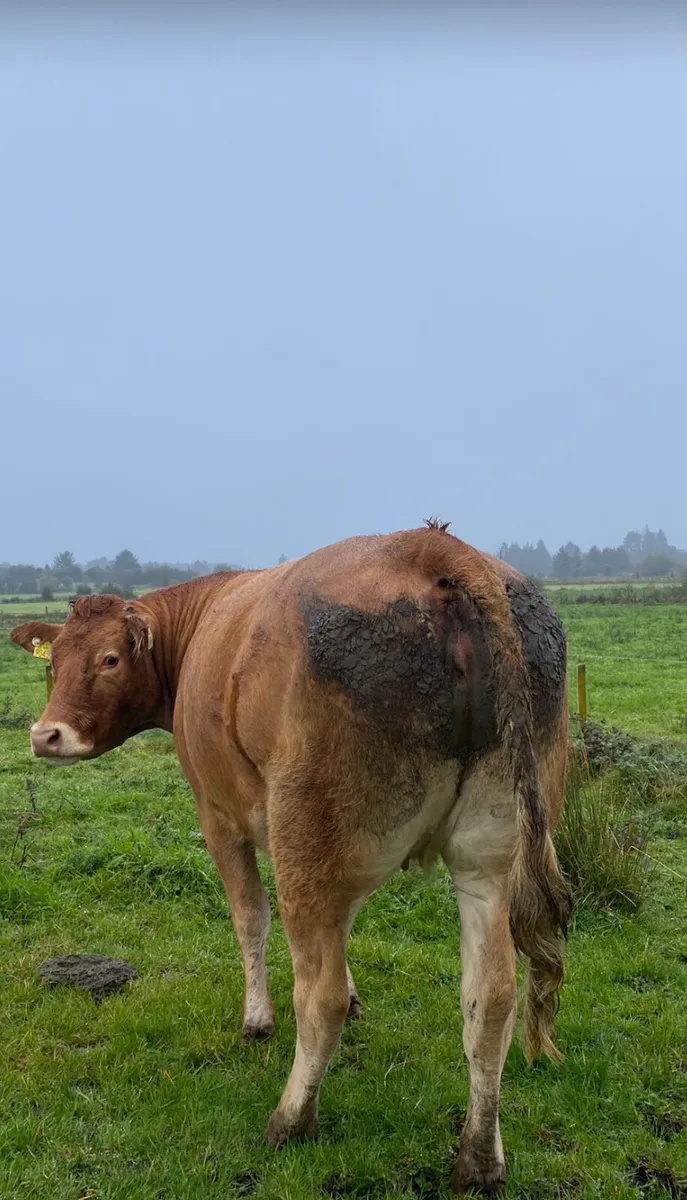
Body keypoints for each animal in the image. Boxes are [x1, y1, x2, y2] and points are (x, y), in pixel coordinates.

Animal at [11, 522, 571, 1195]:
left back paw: (291, 1118)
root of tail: (433, 546)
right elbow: (344, 933)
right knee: (492, 1001)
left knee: (317, 995)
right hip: (489, 858)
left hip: (308, 833)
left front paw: (257, 1020)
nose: (46, 735)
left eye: (110, 659)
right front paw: (356, 998)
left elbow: (250, 918)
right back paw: (480, 1159)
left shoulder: (220, 816)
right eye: (54, 662)